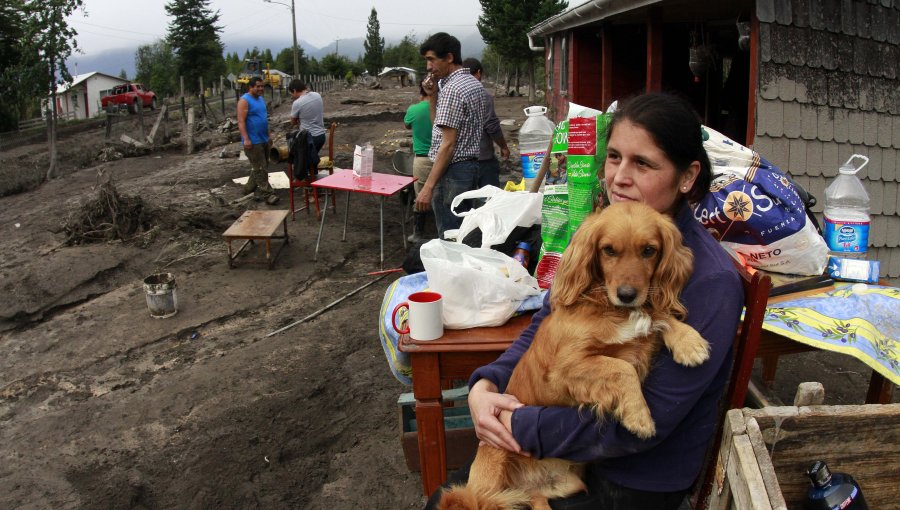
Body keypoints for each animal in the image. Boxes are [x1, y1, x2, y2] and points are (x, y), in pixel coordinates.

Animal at [438, 201, 712, 508]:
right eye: (608, 250)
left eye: (649, 250)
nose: (627, 294)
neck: (611, 307)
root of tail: (527, 486)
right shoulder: (565, 369)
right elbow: (621, 368)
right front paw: (639, 416)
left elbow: (659, 315)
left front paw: (689, 341)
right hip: (489, 477)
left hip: (563, 487)